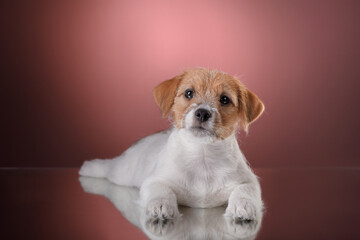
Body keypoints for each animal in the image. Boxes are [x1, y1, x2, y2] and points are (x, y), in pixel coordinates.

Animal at [79, 67, 264, 221]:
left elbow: (244, 189)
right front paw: (161, 206)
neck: (202, 155)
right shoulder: (155, 179)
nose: (202, 113)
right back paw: (90, 167)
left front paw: (243, 206)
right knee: (108, 167)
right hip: (122, 173)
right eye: (189, 93)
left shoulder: (248, 180)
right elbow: (161, 190)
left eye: (225, 99)